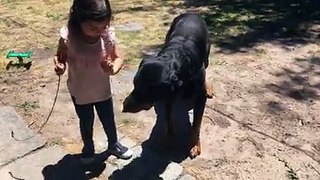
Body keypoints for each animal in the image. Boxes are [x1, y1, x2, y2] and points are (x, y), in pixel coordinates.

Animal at [122, 13, 212, 159]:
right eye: (134, 84)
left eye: (148, 92)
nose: (124, 106)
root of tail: (191, 13)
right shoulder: (168, 95)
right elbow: (168, 118)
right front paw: (168, 139)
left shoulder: (199, 98)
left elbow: (196, 124)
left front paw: (193, 145)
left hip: (207, 56)